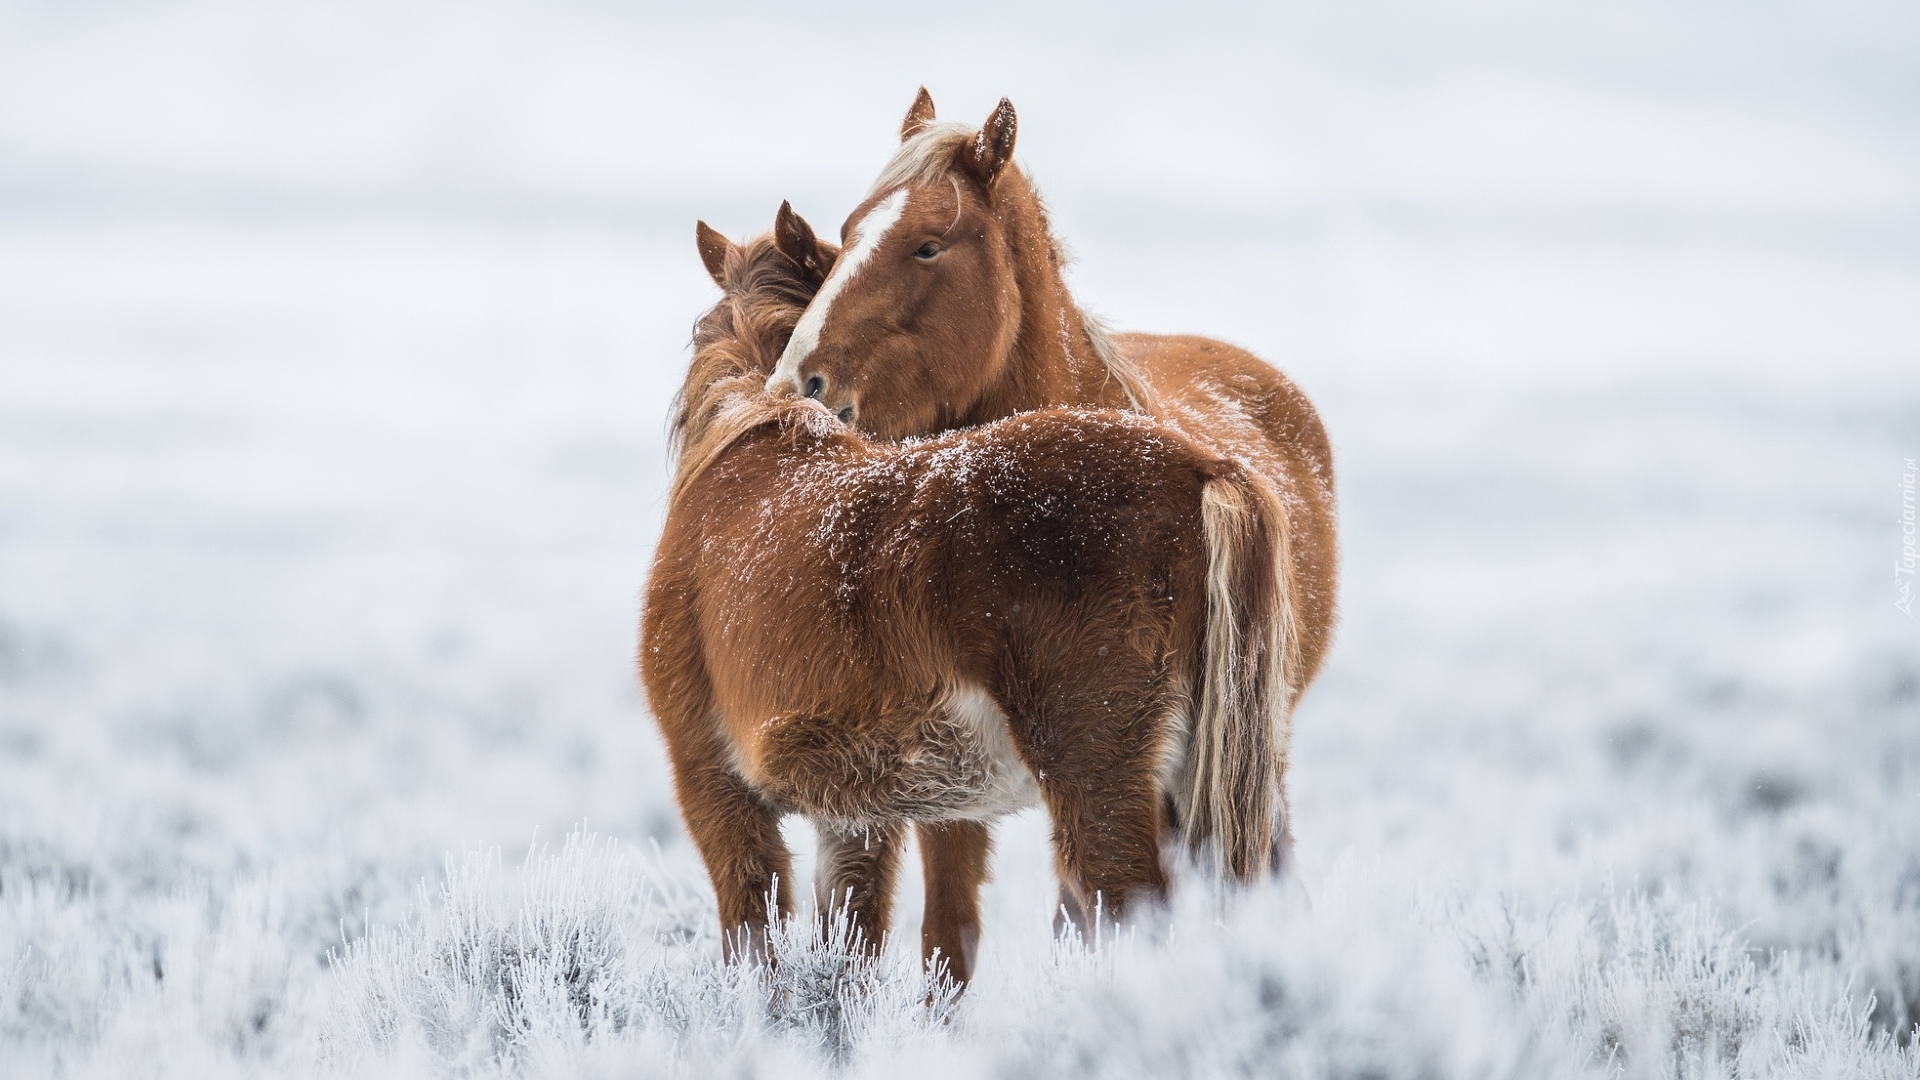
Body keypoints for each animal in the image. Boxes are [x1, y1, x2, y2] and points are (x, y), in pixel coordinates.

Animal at [645, 214, 1305, 980]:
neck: (747, 439)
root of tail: (1204, 466)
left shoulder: (715, 790)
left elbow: (757, 944)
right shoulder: (858, 817)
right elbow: (849, 949)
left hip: (1101, 783)